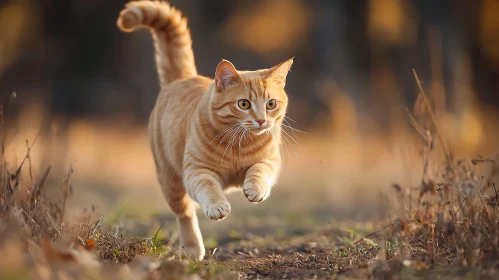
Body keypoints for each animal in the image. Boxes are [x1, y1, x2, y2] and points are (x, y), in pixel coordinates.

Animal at [116, 0, 292, 260]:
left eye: (271, 104)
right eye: (244, 104)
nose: (261, 121)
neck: (239, 143)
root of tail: (183, 78)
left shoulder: (271, 161)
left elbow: (259, 170)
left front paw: (255, 188)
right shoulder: (196, 171)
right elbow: (208, 188)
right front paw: (217, 206)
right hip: (170, 180)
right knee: (185, 214)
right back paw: (192, 248)